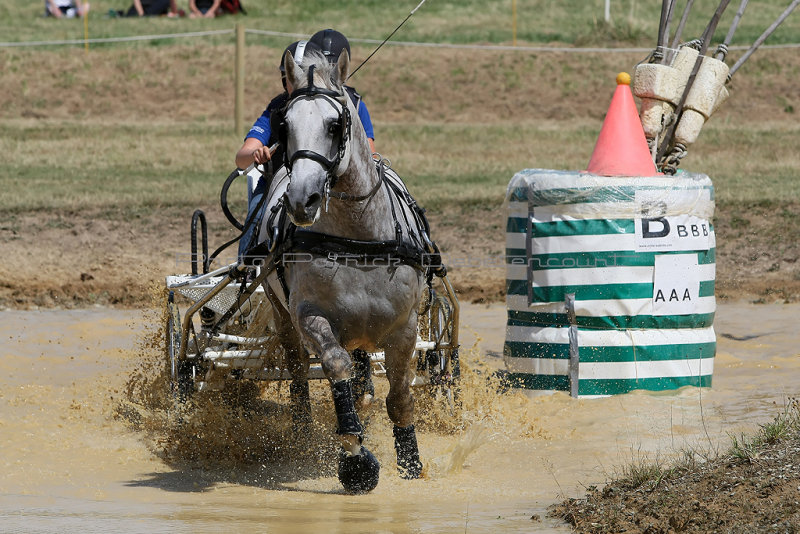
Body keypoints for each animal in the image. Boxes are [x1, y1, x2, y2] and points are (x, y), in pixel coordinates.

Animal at [260, 50, 424, 494]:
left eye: (335, 125)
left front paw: (411, 463)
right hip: (283, 316)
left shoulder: (405, 326)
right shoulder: (309, 316)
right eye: (284, 125)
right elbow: (336, 368)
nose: (302, 199)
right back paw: (302, 429)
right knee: (300, 372)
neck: (358, 238)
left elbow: (399, 398)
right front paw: (356, 459)